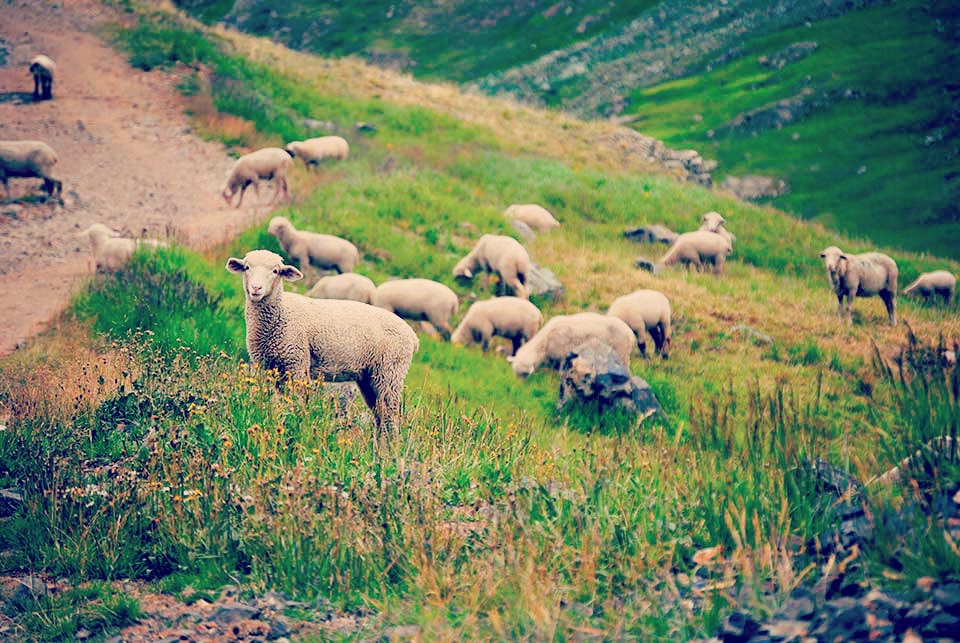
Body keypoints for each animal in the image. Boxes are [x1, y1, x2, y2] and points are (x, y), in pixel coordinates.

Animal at [225, 249, 419, 435]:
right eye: (247, 267)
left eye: (275, 271)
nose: (256, 288)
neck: (282, 312)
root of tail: (412, 336)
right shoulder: (272, 368)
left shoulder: (297, 364)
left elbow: (296, 403)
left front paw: (295, 429)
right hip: (369, 377)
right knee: (380, 419)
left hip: (390, 372)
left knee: (390, 421)